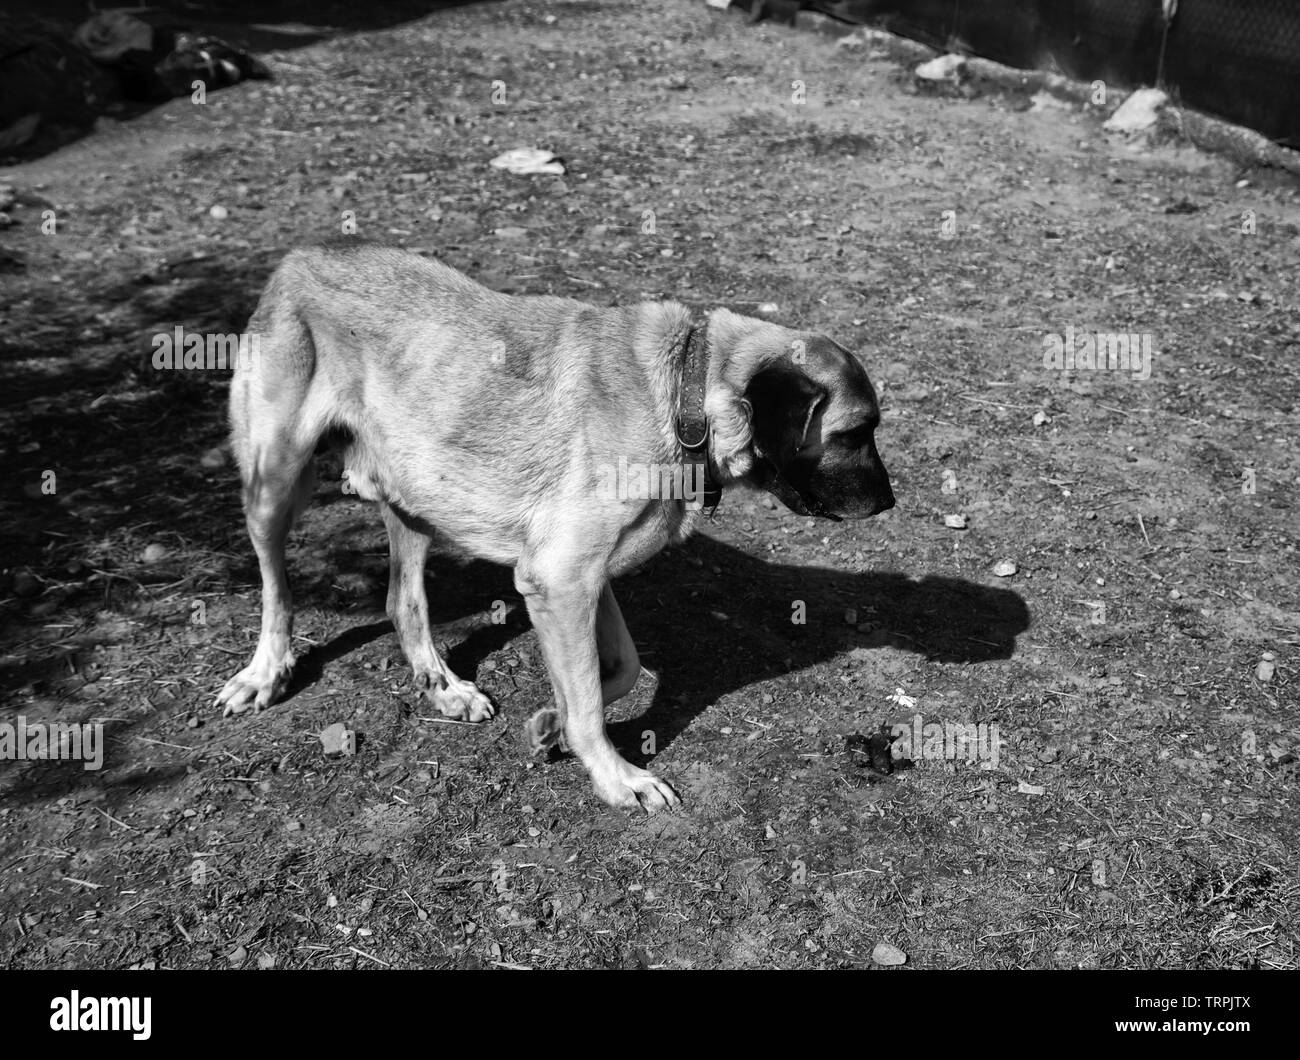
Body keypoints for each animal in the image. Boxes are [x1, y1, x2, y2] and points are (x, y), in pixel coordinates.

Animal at [218, 244, 899, 811]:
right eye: (854, 433)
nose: (891, 502)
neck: (683, 389)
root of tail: (300, 259)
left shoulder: (583, 581)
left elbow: (618, 671)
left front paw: (554, 724)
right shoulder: (562, 579)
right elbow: (593, 700)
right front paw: (617, 777)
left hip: (414, 495)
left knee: (402, 602)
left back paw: (444, 685)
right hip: (276, 484)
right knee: (277, 591)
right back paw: (264, 674)